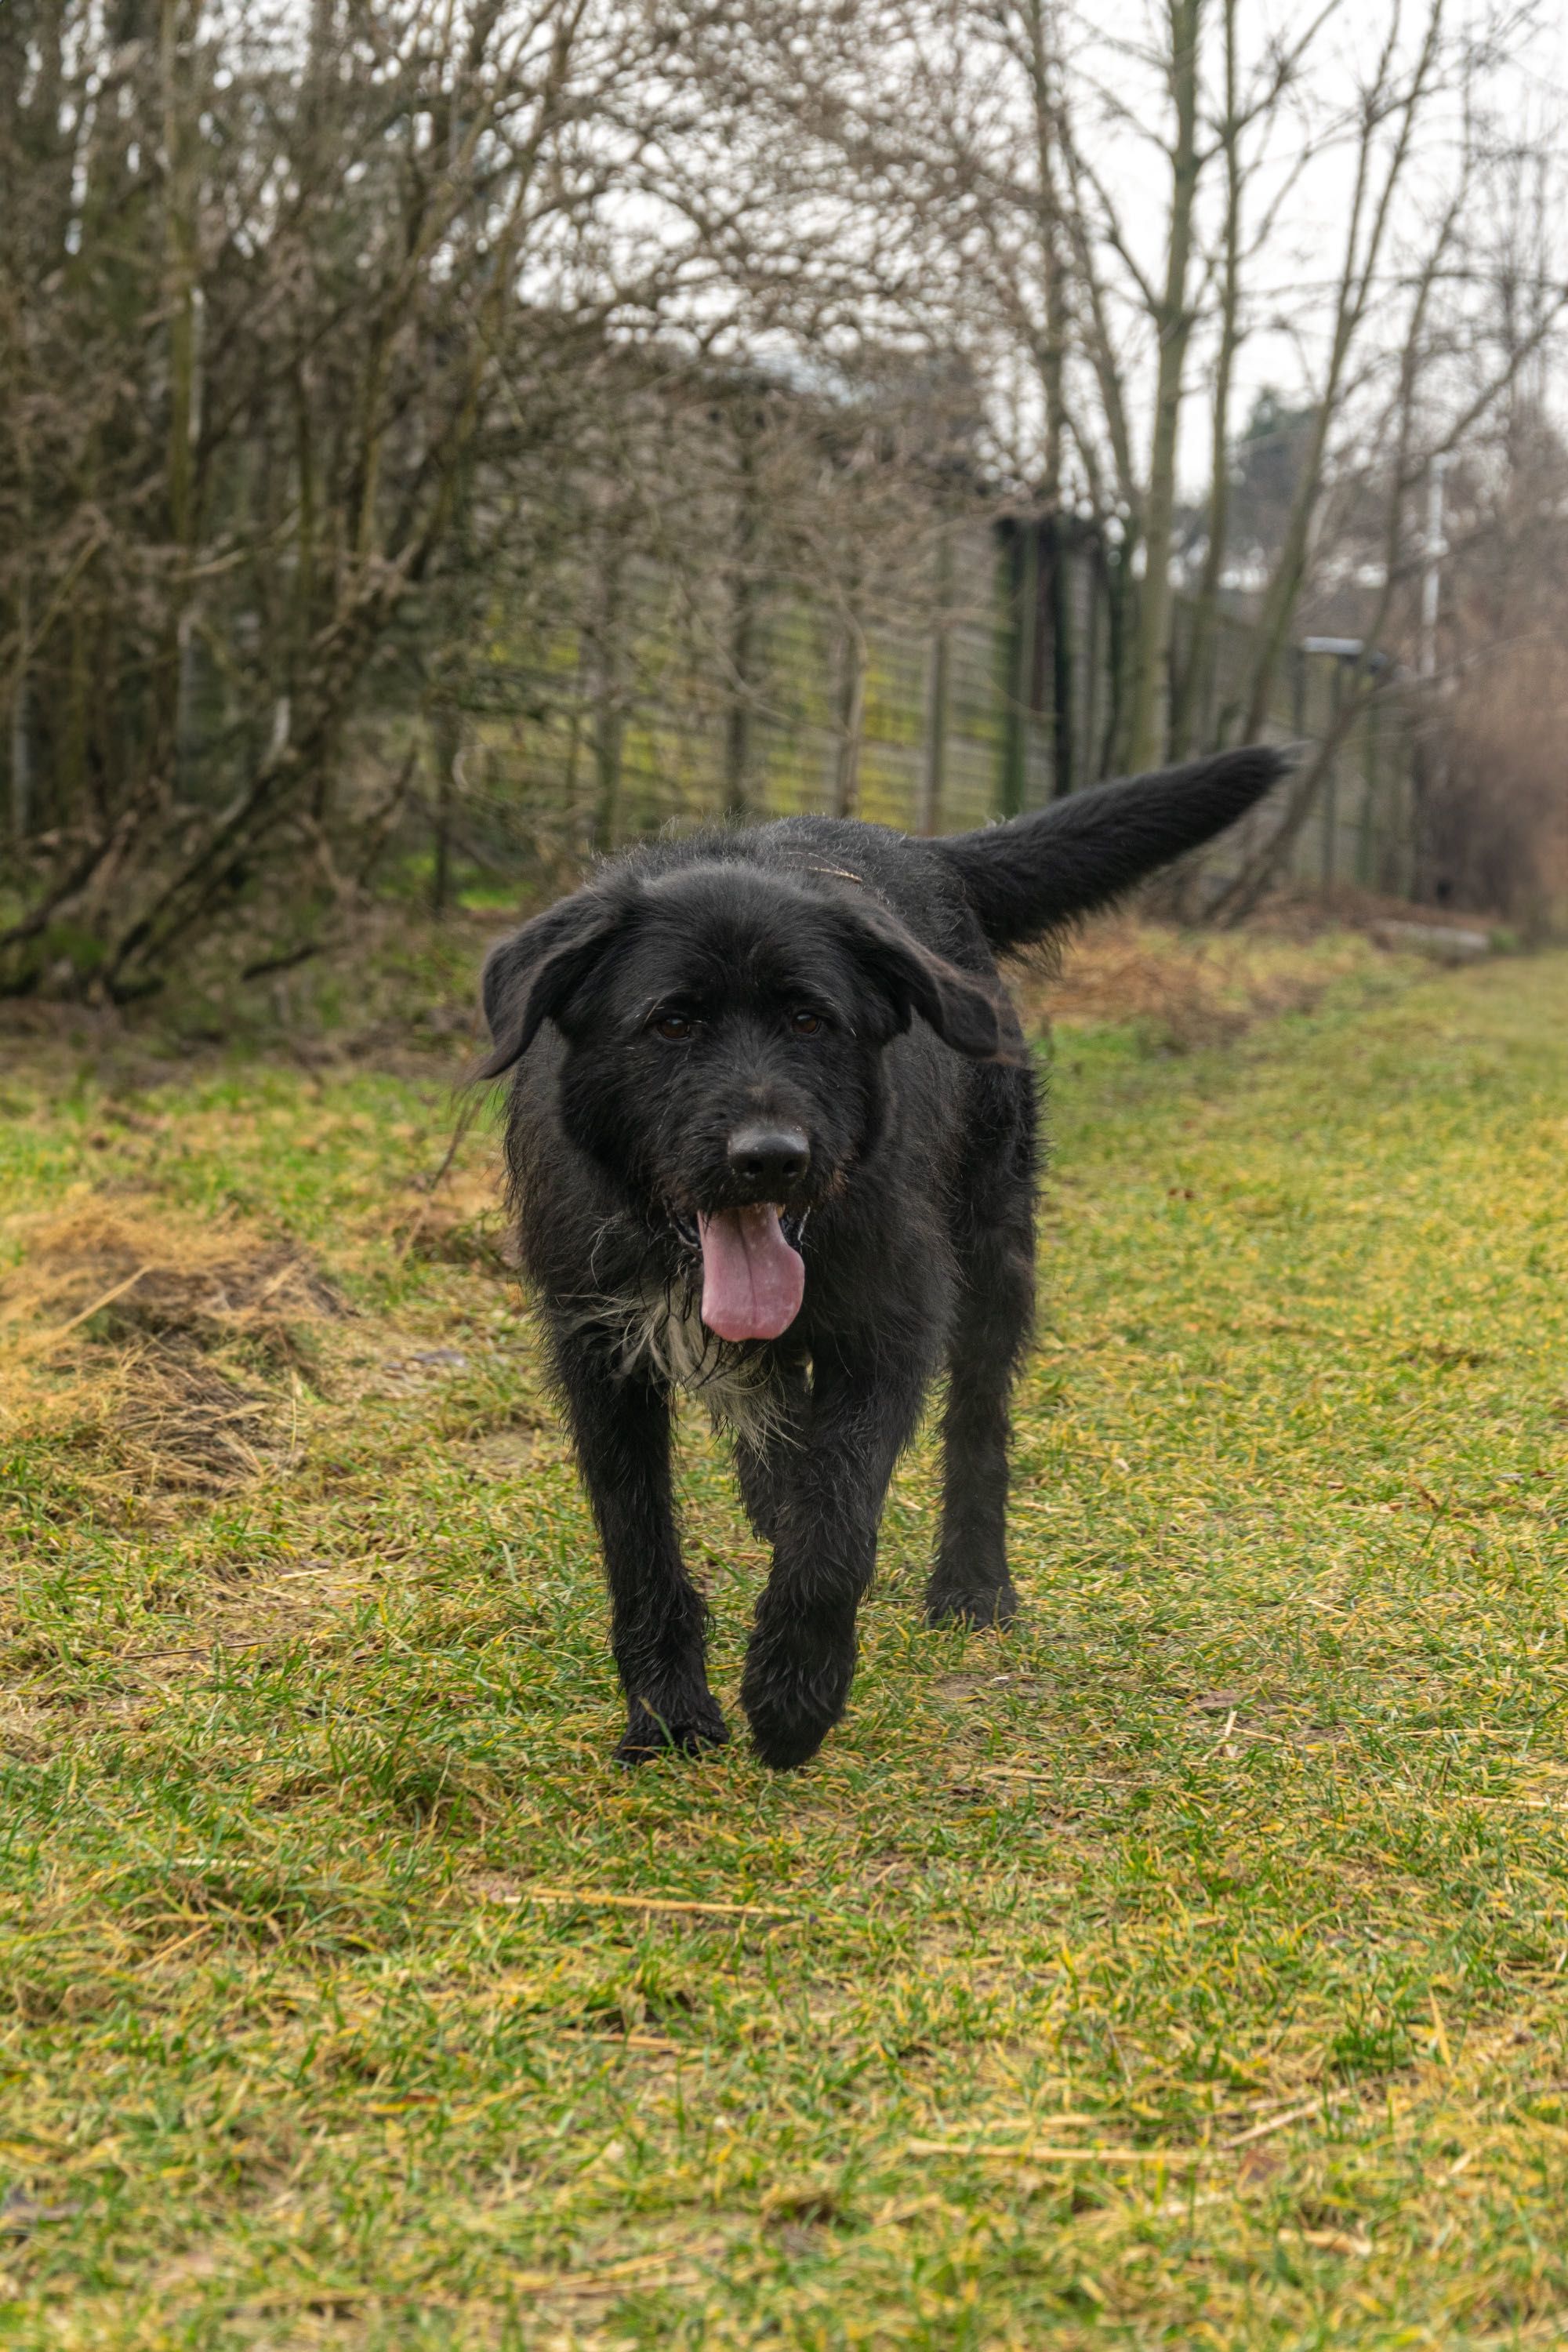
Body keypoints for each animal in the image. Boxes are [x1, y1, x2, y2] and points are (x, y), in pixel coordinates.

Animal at [481, 748, 1288, 1769]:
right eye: (670, 1024)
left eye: (810, 1021)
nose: (770, 1158)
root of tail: (924, 850)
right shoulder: (597, 1351)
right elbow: (638, 1540)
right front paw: (665, 1712)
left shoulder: (889, 1324)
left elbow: (836, 1523)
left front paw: (794, 1692)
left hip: (993, 1251)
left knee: (976, 1423)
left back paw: (972, 1581)